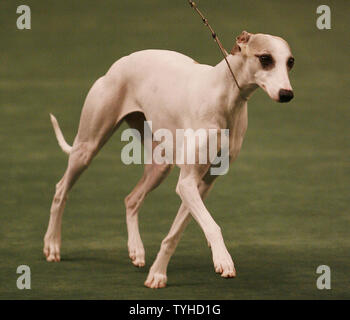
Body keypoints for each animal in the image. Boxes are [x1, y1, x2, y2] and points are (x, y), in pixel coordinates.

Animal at [44, 31, 296, 288]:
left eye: (290, 62)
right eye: (265, 58)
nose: (287, 94)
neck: (225, 94)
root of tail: (119, 63)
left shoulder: (202, 183)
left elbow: (175, 234)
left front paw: (157, 273)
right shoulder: (187, 183)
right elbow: (212, 226)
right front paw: (223, 259)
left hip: (160, 164)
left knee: (131, 199)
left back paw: (136, 249)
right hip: (88, 146)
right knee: (61, 189)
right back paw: (52, 245)